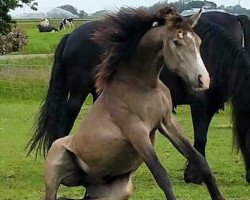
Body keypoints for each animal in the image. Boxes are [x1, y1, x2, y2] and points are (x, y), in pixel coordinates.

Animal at [27, 9, 250, 184]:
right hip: (77, 94)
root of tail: (71, 36)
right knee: (66, 121)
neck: (214, 56)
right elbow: (201, 138)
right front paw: (194, 176)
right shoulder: (200, 104)